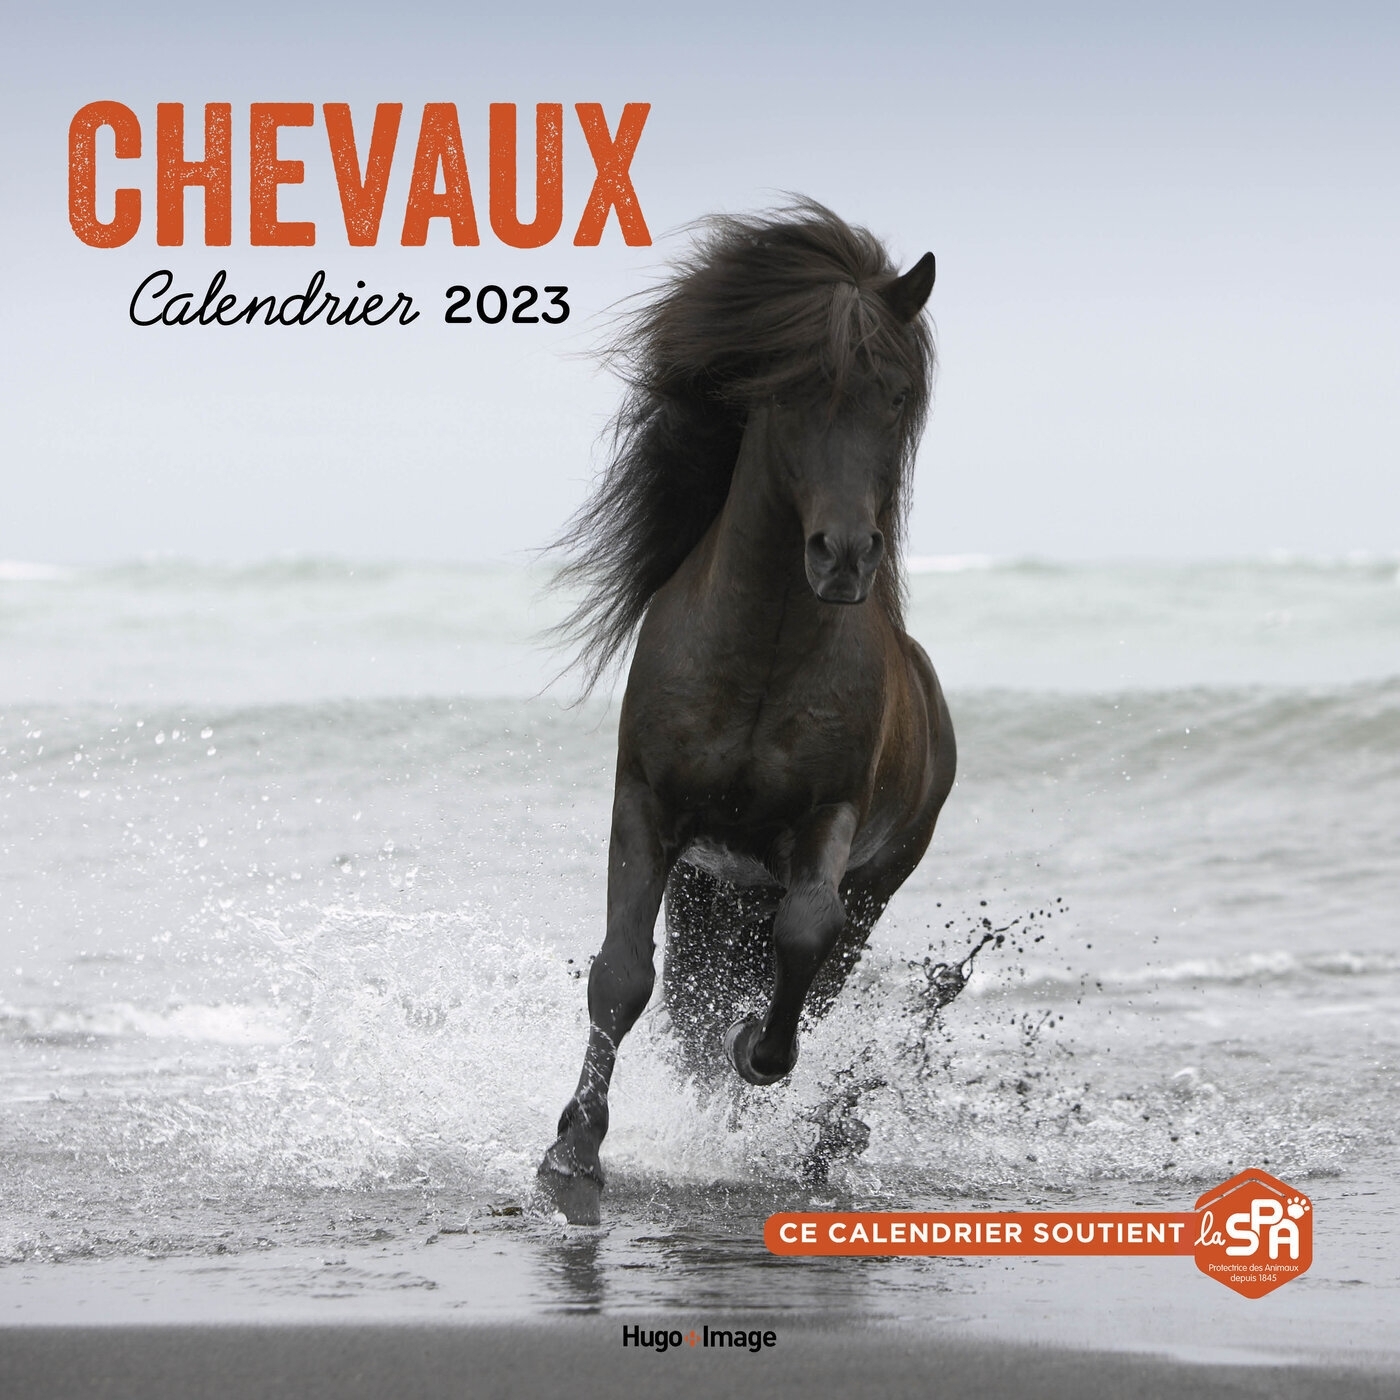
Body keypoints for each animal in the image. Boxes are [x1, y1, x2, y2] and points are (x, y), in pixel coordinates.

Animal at [537, 200, 956, 1225]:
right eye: (793, 390)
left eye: (894, 395)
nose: (842, 556)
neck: (762, 651)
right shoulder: (646, 807)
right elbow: (620, 977)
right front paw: (574, 1152)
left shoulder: (827, 823)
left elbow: (796, 946)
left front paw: (756, 1057)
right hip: (709, 885)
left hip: (866, 889)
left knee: (803, 970)